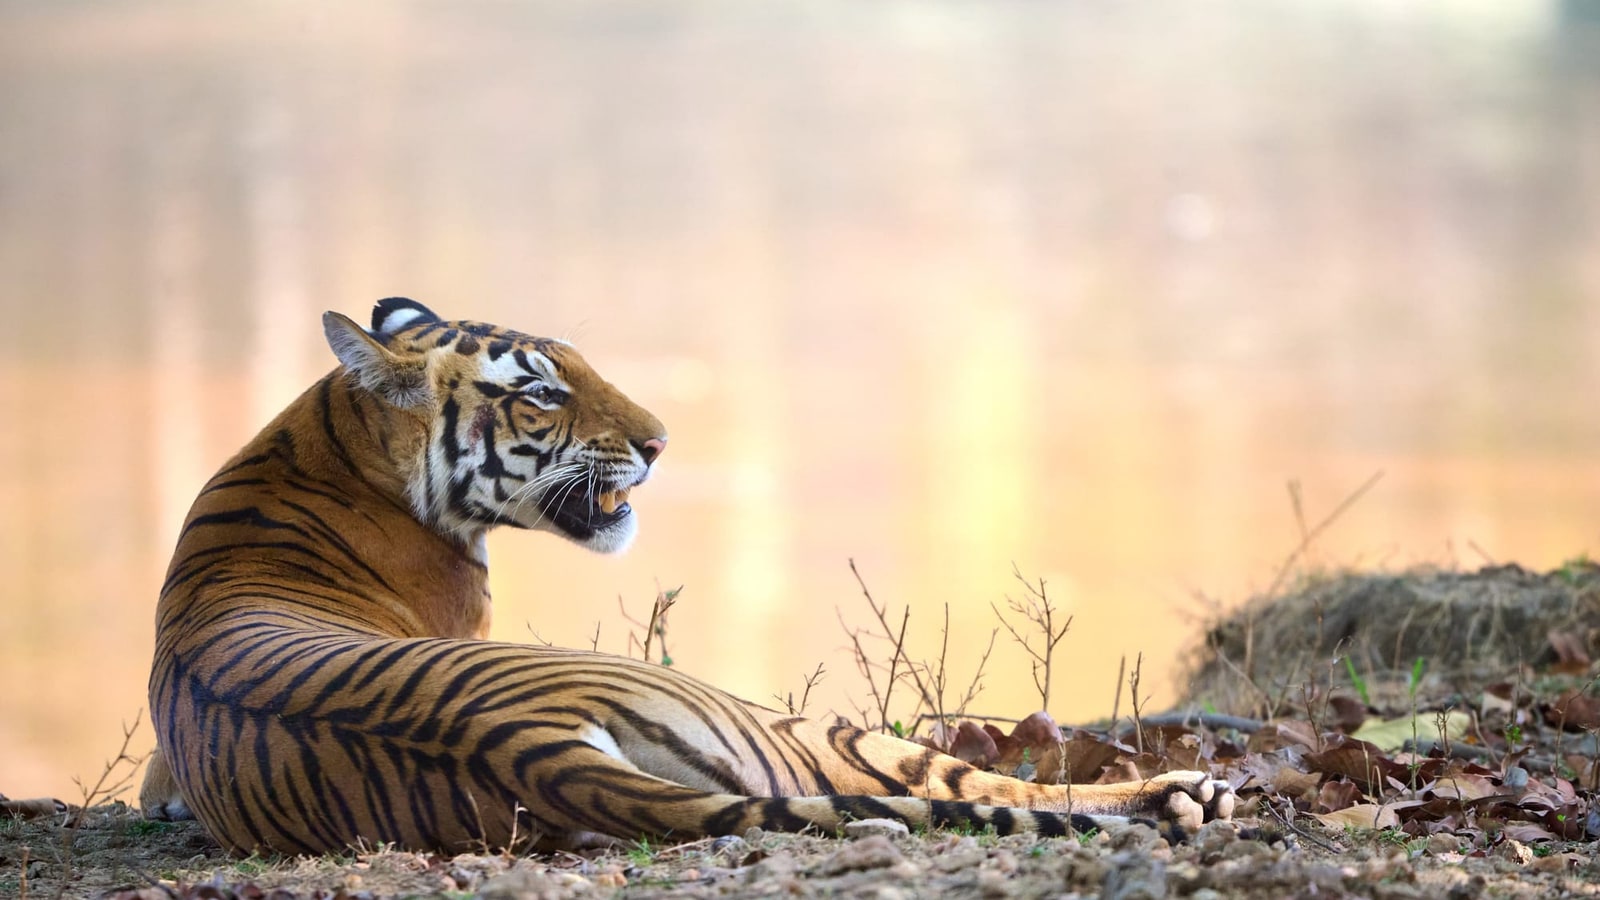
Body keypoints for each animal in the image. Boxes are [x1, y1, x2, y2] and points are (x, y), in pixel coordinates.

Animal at [144, 297, 1236, 855]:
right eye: (541, 392)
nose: (662, 443)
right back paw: (1193, 794)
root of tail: (524, 744)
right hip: (803, 727)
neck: (323, 440)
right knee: (989, 781)